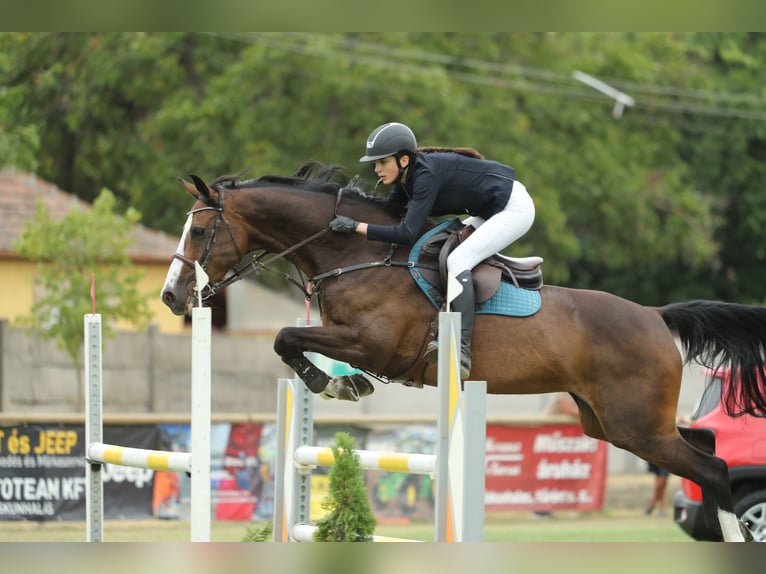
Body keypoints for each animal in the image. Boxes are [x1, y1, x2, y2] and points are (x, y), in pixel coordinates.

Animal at [161, 162, 766, 542]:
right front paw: (341, 383)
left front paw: (334, 383)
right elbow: (288, 341)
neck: (355, 255)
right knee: (708, 445)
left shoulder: (371, 343)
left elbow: (286, 337)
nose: (171, 296)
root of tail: (656, 315)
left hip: (635, 423)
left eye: (199, 233)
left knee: (713, 469)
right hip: (614, 423)